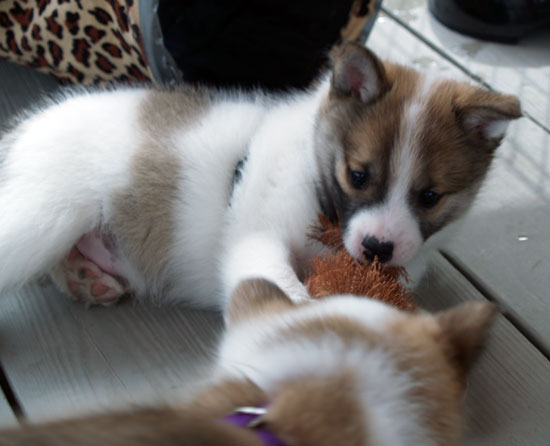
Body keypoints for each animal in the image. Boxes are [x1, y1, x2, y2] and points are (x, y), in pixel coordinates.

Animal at [0, 43, 520, 308]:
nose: (377, 248)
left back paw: (86, 276)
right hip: (43, 218)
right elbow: (290, 295)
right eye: (357, 175)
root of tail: (22, 132)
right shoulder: (257, 239)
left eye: (430, 196)